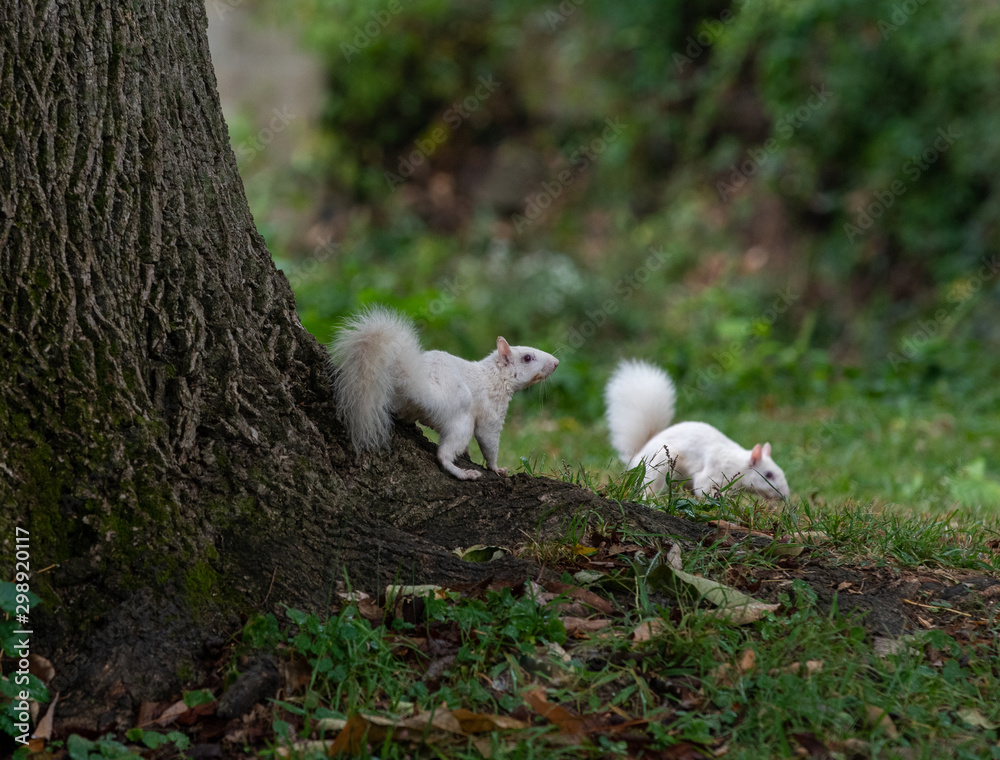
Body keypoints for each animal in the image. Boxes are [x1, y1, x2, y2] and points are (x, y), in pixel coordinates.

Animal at [328, 305, 559, 480]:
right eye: (527, 358)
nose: (556, 362)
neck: (493, 375)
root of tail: (423, 389)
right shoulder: (493, 410)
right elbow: (488, 439)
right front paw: (496, 468)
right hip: (461, 418)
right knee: (443, 455)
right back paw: (463, 472)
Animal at [604, 359, 790, 500]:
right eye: (769, 475)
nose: (785, 496)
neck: (739, 464)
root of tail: (638, 456)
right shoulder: (716, 473)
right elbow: (704, 487)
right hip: (659, 466)